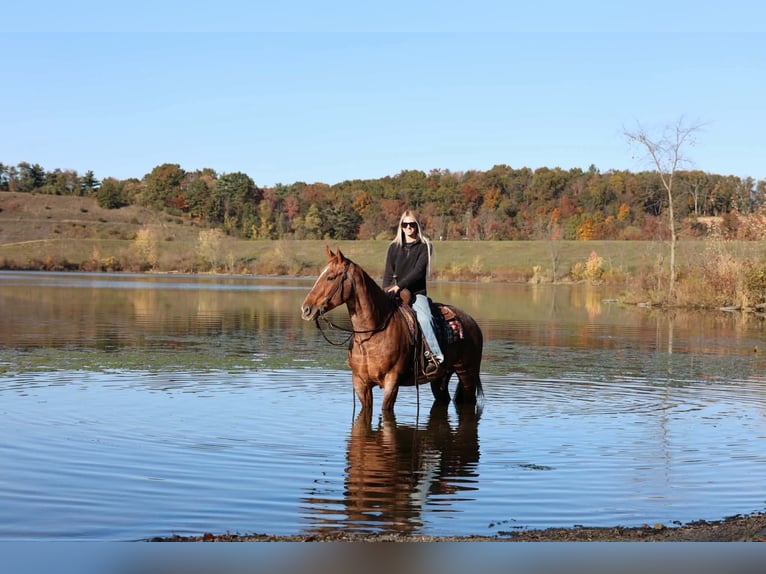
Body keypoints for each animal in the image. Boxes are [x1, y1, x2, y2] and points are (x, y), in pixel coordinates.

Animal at [300, 247, 484, 412]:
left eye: (330, 277)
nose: (306, 309)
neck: (372, 333)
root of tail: (472, 322)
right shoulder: (360, 383)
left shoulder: (391, 381)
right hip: (441, 377)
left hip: (467, 373)